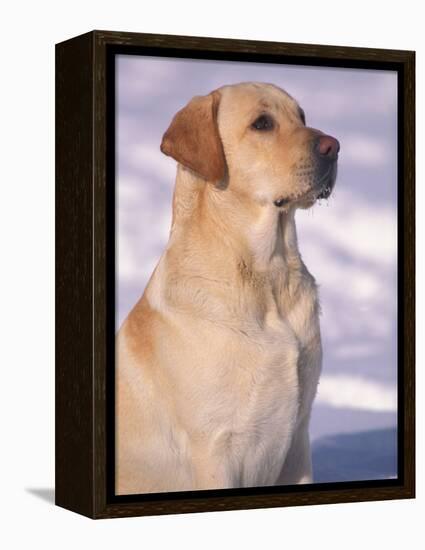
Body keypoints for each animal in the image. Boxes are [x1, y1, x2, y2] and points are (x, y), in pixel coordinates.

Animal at [115, 82, 338, 496]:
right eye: (262, 123)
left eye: (301, 116)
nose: (333, 145)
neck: (267, 277)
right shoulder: (215, 447)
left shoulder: (298, 438)